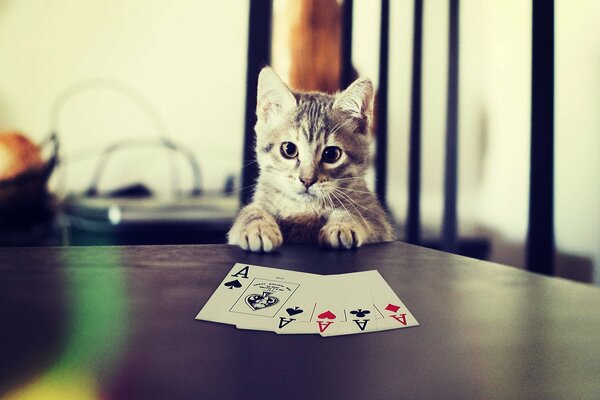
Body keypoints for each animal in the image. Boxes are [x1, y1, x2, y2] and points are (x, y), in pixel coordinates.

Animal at [229, 67, 394, 252]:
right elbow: (251, 211)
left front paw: (342, 225)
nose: (307, 180)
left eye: (331, 154)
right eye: (289, 149)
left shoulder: (378, 219)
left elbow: (358, 214)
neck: (304, 210)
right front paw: (258, 227)